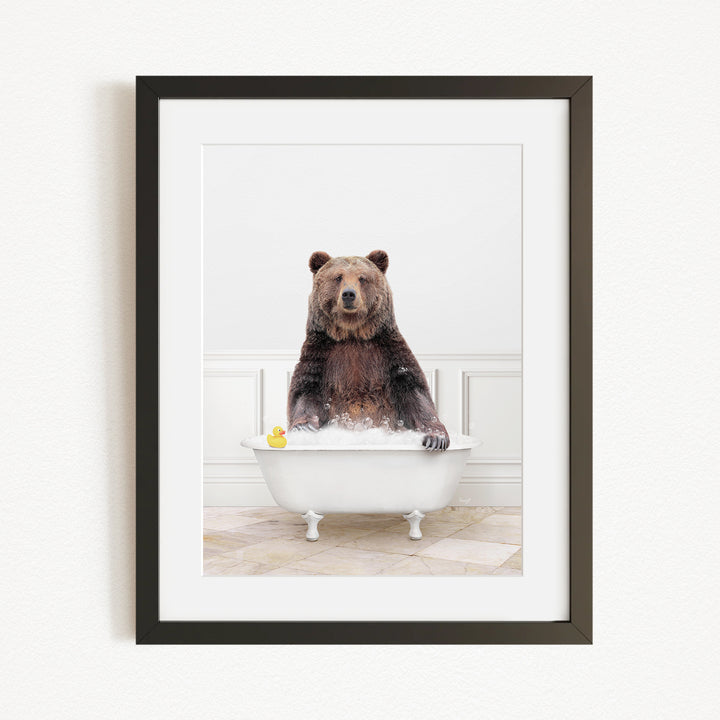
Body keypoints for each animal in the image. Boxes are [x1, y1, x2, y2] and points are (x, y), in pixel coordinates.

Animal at [287, 250, 449, 451]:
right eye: (338, 277)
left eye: (362, 278)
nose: (349, 294)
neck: (353, 334)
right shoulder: (321, 353)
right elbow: (306, 391)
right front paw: (304, 428)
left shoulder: (388, 352)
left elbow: (414, 391)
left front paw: (436, 438)